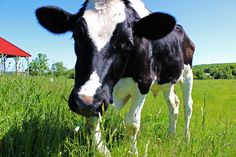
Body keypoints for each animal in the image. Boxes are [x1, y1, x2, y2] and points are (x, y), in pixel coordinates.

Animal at [35, 0, 194, 156]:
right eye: (76, 37)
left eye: (127, 42)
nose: (84, 102)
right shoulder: (97, 98)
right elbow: (93, 120)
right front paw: (102, 151)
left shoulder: (143, 82)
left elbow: (132, 122)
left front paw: (132, 152)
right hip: (167, 81)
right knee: (174, 104)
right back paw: (170, 136)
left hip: (187, 75)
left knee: (187, 106)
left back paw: (186, 139)